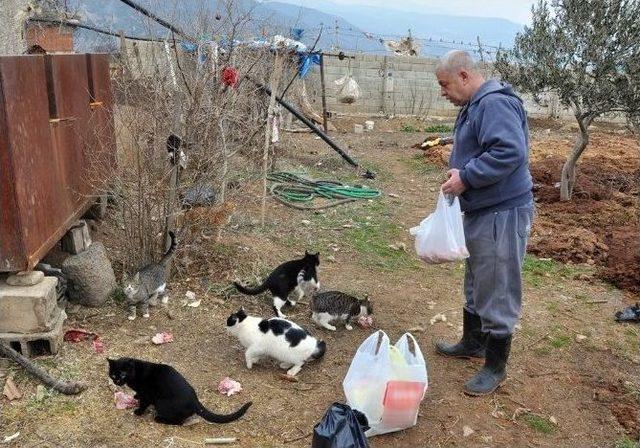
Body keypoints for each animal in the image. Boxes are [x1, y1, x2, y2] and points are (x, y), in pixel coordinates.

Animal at [109, 358, 251, 426]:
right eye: (113, 374)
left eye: (123, 374)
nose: (117, 381)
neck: (136, 372)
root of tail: (196, 402)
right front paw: (135, 396)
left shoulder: (147, 394)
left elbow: (144, 403)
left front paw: (138, 411)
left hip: (161, 403)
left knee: (179, 422)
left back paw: (159, 419)